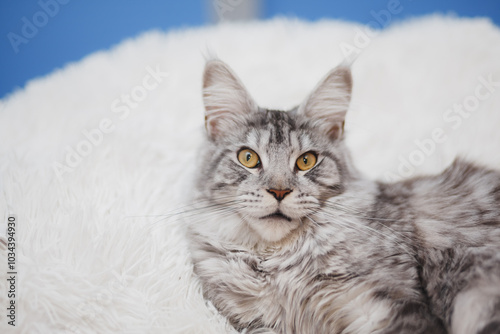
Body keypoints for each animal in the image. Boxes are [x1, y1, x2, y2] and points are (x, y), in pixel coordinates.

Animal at [188, 58, 500, 332]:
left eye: (306, 161)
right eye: (248, 158)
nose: (279, 191)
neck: (279, 263)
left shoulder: (382, 304)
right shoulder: (256, 322)